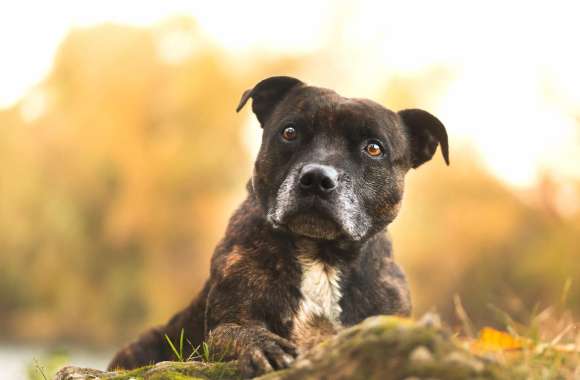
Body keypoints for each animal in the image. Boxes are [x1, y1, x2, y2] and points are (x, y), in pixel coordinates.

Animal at [110, 75, 454, 378]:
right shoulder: (224, 324)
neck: (322, 255)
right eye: (290, 132)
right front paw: (263, 346)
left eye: (373, 148)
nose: (317, 178)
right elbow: (234, 332)